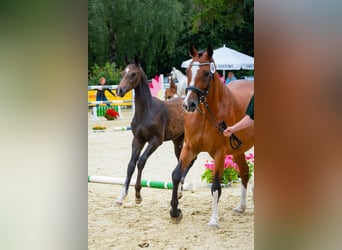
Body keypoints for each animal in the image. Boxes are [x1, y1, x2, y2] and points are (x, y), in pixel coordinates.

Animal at [116, 55, 194, 206]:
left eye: (133, 74)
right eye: (122, 73)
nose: (119, 91)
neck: (146, 111)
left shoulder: (156, 141)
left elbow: (141, 161)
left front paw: (138, 195)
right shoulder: (138, 140)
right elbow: (131, 165)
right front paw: (121, 196)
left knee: (189, 160)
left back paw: (180, 191)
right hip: (177, 140)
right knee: (180, 160)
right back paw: (179, 191)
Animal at [169, 44, 254, 228]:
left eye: (207, 73)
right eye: (187, 72)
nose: (189, 104)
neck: (206, 116)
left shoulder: (220, 153)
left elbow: (215, 186)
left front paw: (214, 219)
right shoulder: (190, 148)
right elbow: (176, 174)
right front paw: (175, 212)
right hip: (238, 150)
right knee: (245, 172)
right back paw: (241, 207)